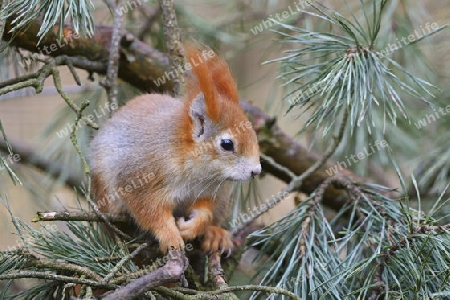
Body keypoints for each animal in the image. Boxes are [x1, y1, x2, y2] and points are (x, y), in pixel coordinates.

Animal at [89, 44, 262, 253]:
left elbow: (205, 210)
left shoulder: (209, 191)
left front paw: (195, 226)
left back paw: (216, 234)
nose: (256, 171)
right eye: (227, 144)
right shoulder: (139, 178)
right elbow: (149, 211)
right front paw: (169, 235)